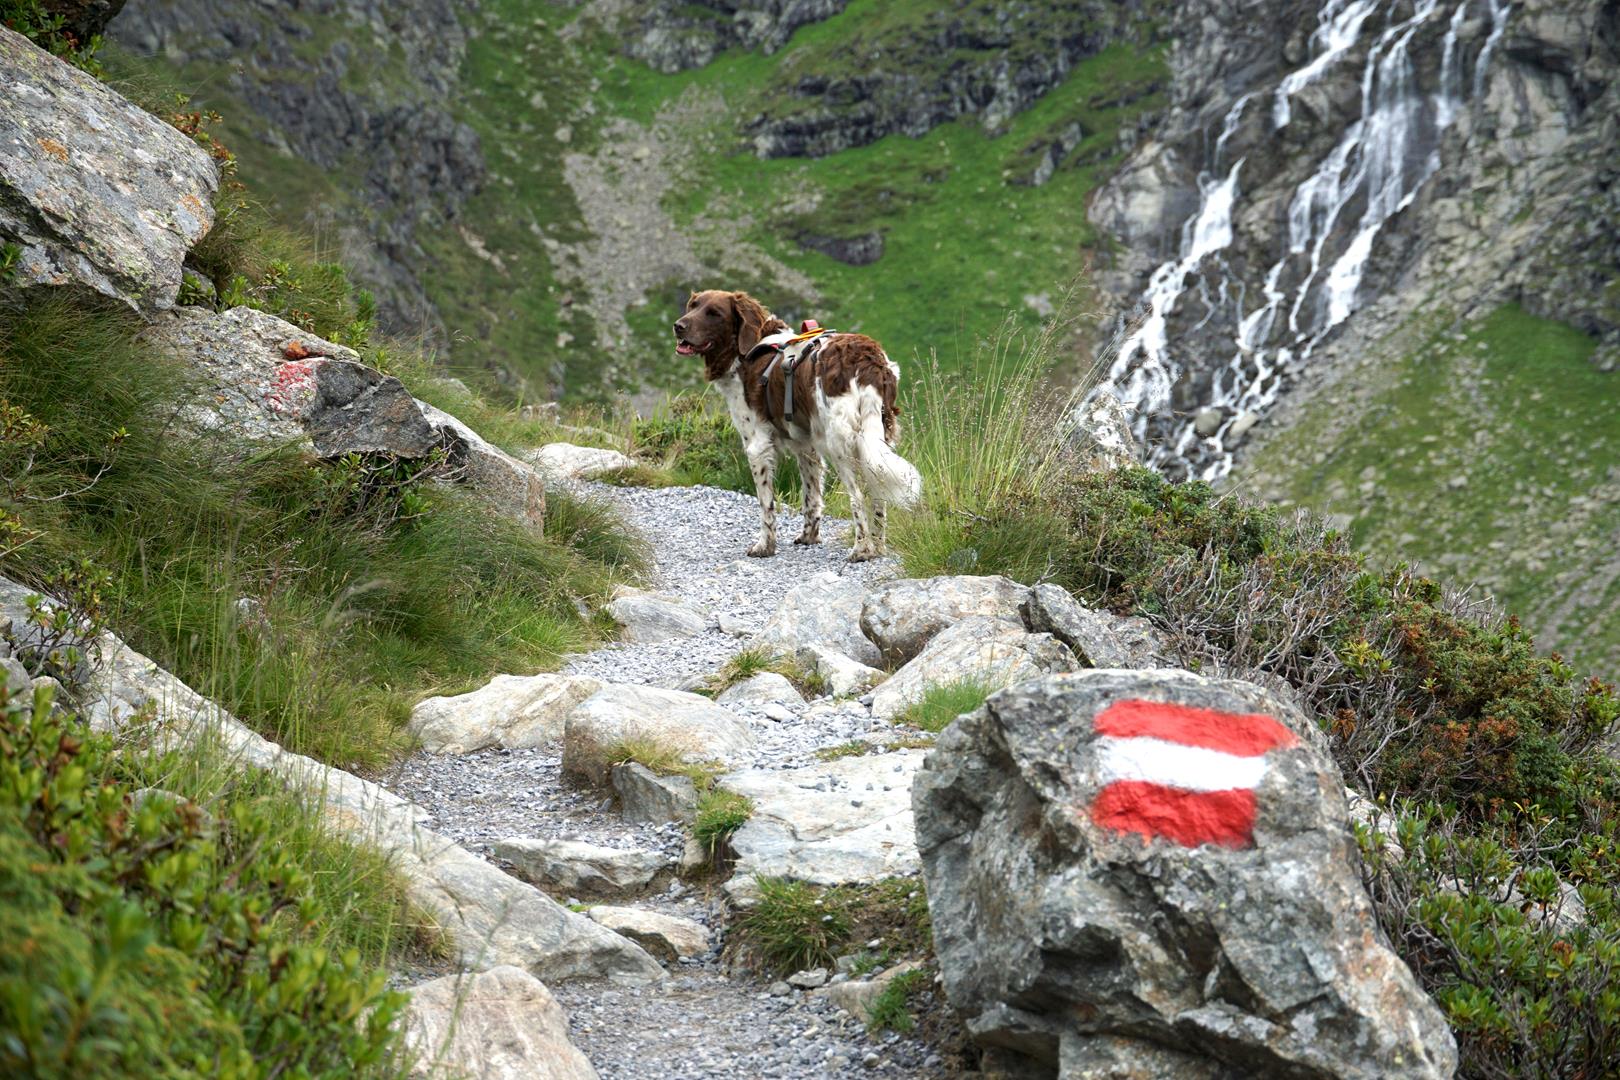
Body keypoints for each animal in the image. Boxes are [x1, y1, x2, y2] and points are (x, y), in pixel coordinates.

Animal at [673, 291, 926, 563]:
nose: (678, 326)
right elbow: (811, 496)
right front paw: (809, 536)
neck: (749, 351)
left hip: (840, 444)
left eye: (714, 313)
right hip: (875, 439)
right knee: (878, 493)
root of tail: (868, 359)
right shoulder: (807, 446)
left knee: (858, 497)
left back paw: (861, 549)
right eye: (693, 306)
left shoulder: (757, 445)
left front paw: (765, 546)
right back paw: (877, 548)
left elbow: (766, 504)